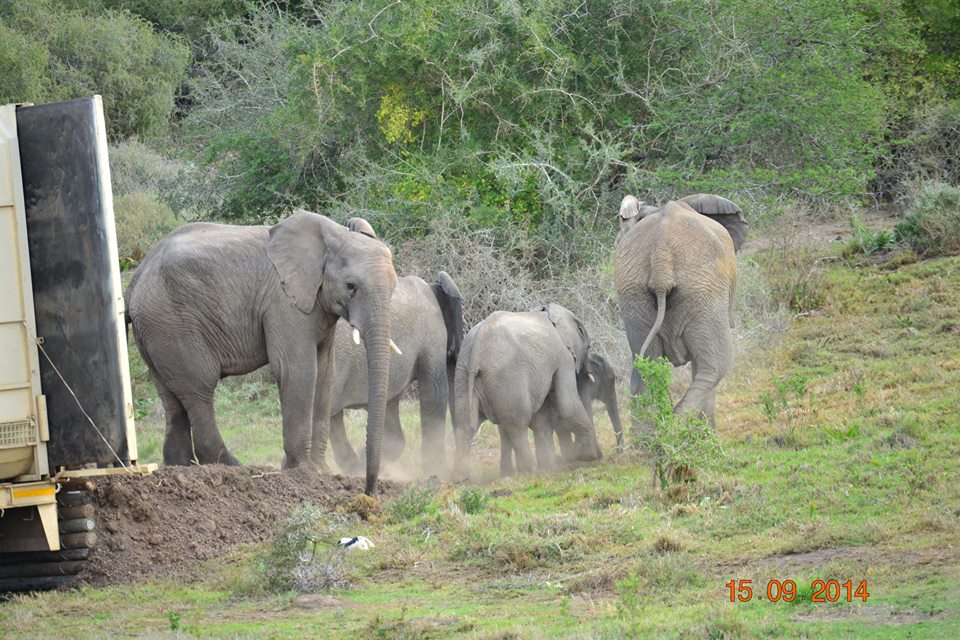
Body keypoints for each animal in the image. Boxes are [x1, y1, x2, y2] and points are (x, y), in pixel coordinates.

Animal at [126, 210, 398, 496]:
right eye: (350, 286)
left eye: (394, 286)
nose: (369, 492)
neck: (332, 235)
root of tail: (136, 280)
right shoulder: (283, 302)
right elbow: (298, 370)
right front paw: (302, 471)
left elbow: (325, 373)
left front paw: (322, 471)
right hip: (174, 325)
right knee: (199, 390)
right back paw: (234, 468)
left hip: (156, 332)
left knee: (172, 400)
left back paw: (181, 467)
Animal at [452, 302, 600, 478]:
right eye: (588, 347)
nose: (598, 456)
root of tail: (479, 343)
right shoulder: (563, 356)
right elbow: (568, 404)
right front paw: (587, 457)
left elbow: (541, 418)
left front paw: (550, 467)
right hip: (508, 377)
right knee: (516, 425)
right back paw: (530, 471)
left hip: (463, 374)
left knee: (466, 424)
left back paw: (463, 477)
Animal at [616, 192, 752, 428]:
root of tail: (661, 255)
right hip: (704, 292)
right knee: (714, 366)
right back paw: (682, 428)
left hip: (634, 296)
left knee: (646, 365)